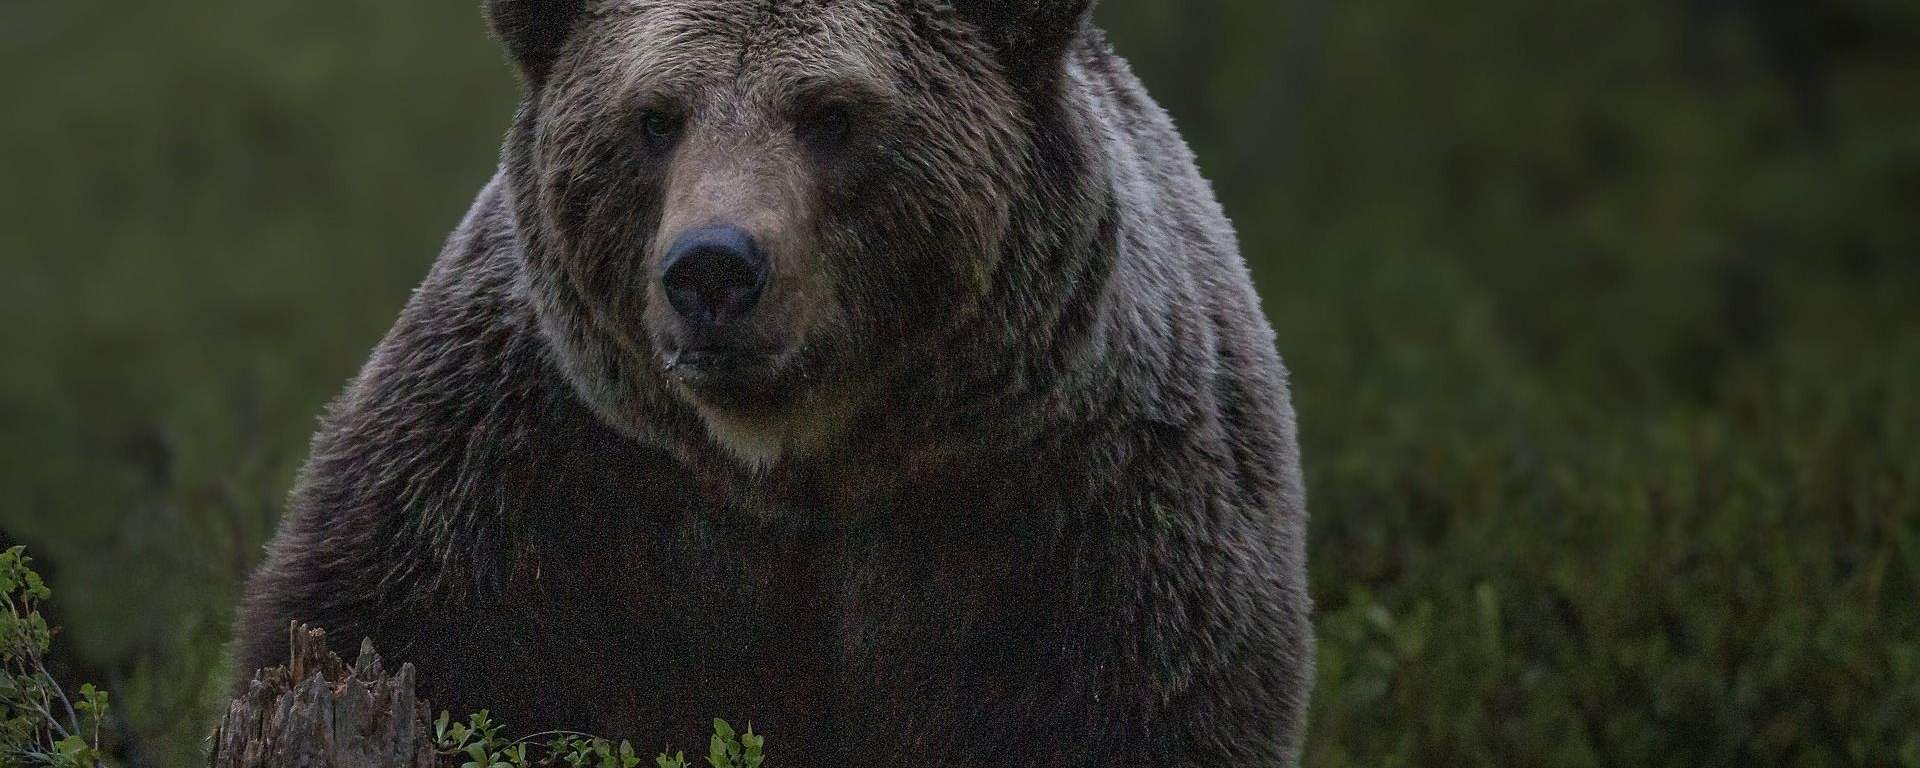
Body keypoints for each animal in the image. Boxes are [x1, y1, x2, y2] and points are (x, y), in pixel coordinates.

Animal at [232, 3, 1313, 764]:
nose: (713, 269)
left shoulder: (1088, 511)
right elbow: (408, 640)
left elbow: (1131, 705)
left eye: (832, 114)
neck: (795, 462)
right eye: (655, 117)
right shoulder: (521, 471)